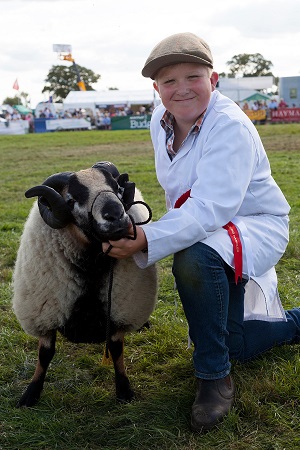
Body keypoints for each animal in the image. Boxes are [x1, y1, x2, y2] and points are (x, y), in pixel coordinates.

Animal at [12, 162, 157, 408]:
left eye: (117, 188)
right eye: (71, 200)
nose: (116, 216)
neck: (93, 263)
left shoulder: (118, 310)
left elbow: (115, 349)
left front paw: (124, 390)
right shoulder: (47, 312)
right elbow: (45, 354)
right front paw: (30, 394)